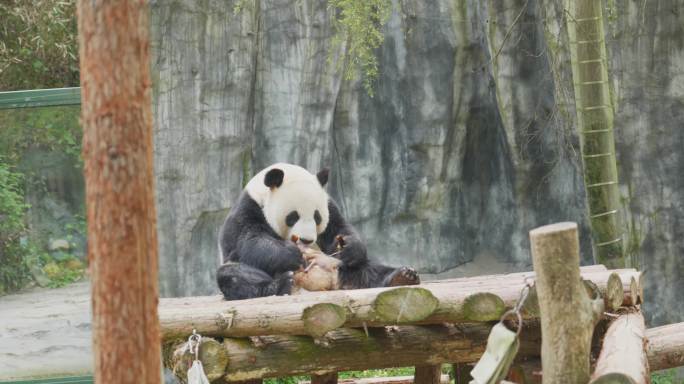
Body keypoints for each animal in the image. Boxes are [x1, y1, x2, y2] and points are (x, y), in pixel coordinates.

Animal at [216, 162, 420, 300]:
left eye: (317, 217)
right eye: (293, 216)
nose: (306, 240)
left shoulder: (329, 204)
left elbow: (338, 229)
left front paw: (349, 247)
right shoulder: (248, 209)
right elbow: (249, 243)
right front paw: (291, 255)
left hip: (342, 267)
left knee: (368, 270)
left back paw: (402, 277)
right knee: (233, 275)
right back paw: (282, 284)